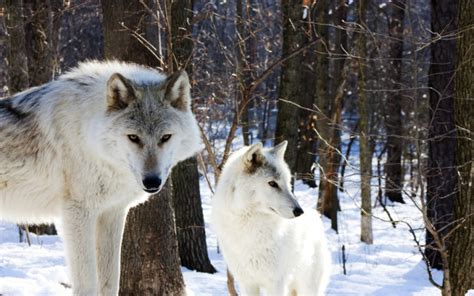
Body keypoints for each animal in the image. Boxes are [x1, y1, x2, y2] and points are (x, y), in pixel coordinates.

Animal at [0, 60, 202, 296]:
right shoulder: (77, 214)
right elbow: (87, 284)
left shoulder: (112, 213)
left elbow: (110, 282)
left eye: (166, 137)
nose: (152, 182)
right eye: (133, 137)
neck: (89, 135)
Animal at [211, 142, 330, 294]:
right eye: (272, 183)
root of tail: (316, 216)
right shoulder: (247, 284)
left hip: (307, 287)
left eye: (287, 183)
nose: (299, 211)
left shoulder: (276, 283)